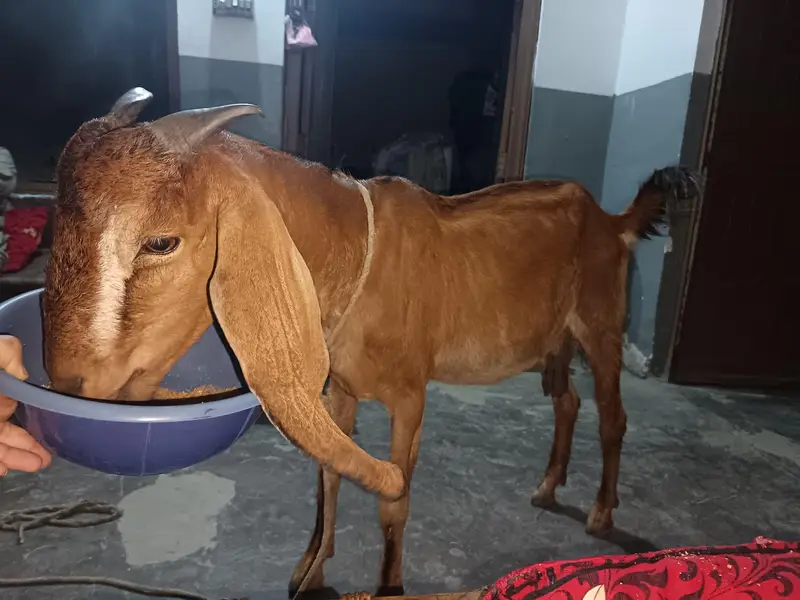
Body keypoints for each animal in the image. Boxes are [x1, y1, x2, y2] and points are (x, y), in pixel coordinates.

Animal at [42, 88, 698, 597]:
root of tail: (610, 219)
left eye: (161, 242)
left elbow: (394, 500)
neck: (357, 252)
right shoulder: (341, 391)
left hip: (601, 327)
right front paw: (309, 571)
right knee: (567, 401)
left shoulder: (410, 397)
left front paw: (389, 585)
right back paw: (544, 487)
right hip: (555, 343)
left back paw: (601, 511)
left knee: (612, 417)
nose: (70, 382)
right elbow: (328, 477)